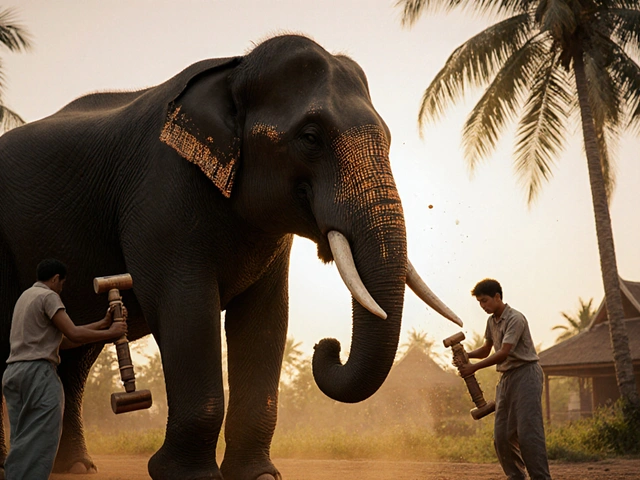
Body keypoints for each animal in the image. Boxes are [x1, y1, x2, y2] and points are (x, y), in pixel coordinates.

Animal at [0, 34, 462, 480]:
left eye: (388, 139)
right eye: (310, 138)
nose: (327, 346)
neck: (235, 70)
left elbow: (266, 318)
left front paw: (259, 476)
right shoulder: (160, 196)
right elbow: (186, 308)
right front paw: (188, 476)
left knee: (74, 358)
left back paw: (76, 467)